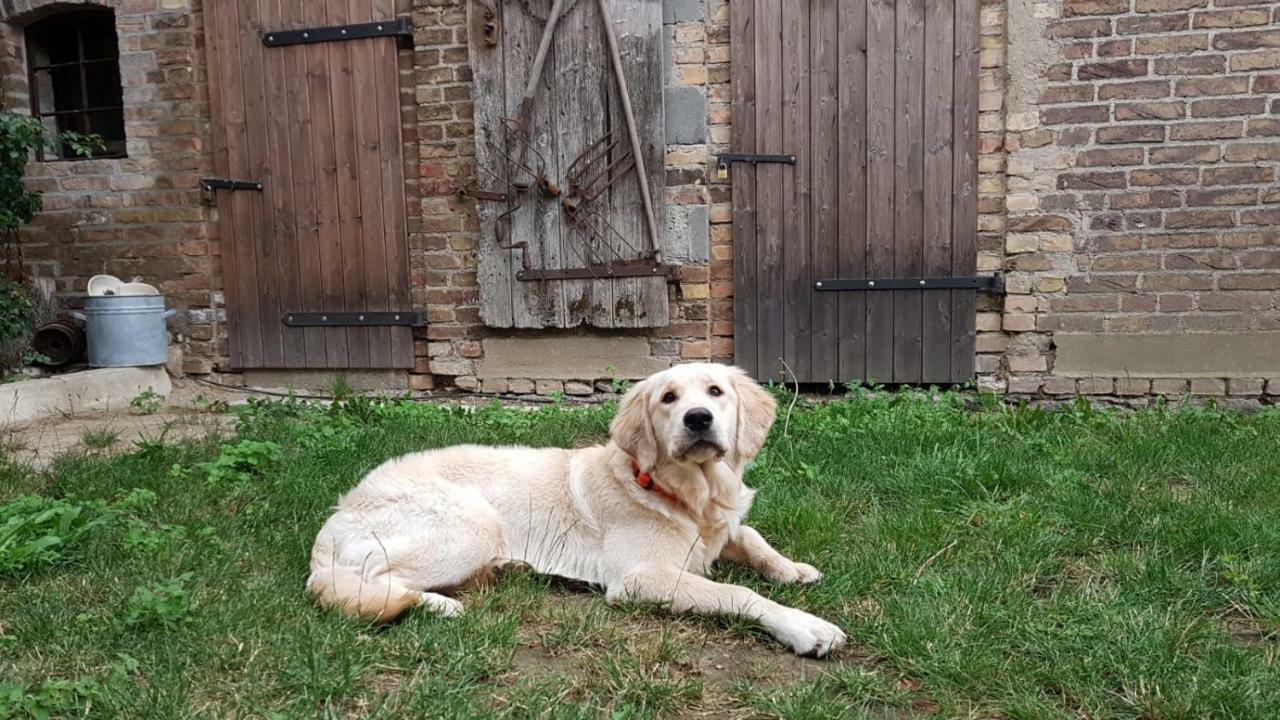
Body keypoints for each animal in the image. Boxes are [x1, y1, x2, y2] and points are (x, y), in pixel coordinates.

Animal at [307, 361, 849, 653]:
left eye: (716, 392)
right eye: (668, 398)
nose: (698, 419)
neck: (683, 492)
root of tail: (336, 515)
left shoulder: (718, 526)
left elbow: (750, 535)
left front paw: (791, 568)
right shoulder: (641, 577)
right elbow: (737, 594)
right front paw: (803, 626)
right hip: (470, 524)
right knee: (368, 584)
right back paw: (442, 603)